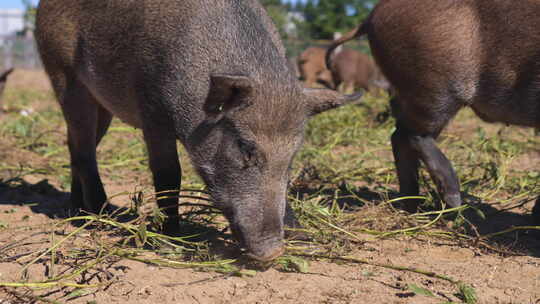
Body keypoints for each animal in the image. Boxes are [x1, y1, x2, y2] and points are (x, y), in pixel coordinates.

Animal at [35, 0, 360, 262]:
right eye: (244, 147)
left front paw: (302, 236)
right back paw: (104, 215)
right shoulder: (152, 110)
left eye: (293, 156)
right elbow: (169, 174)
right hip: (64, 74)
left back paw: (77, 210)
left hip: (101, 105)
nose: (273, 251)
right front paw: (172, 239)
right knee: (84, 150)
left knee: (75, 146)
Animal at [324, 0, 540, 218]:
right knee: (410, 135)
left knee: (400, 136)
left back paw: (413, 206)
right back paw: (453, 204)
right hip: (433, 87)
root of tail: (372, 14)